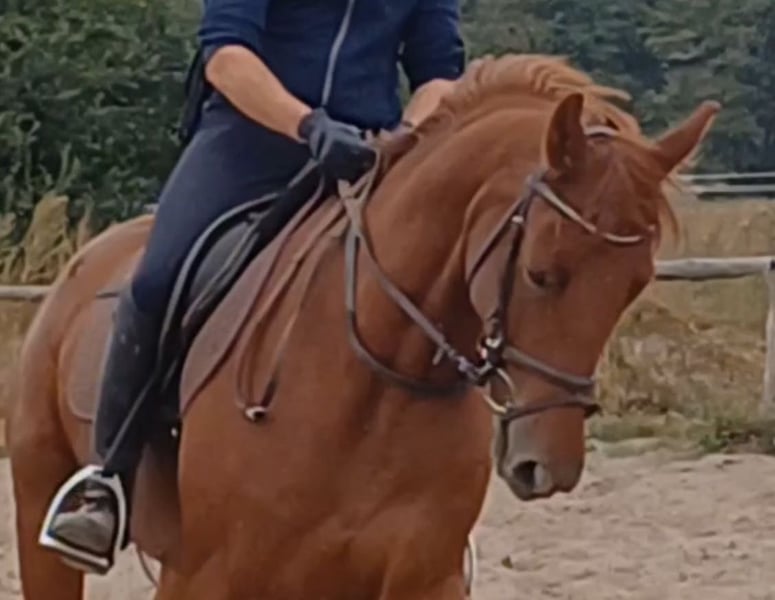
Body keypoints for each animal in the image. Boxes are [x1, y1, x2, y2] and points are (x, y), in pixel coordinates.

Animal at [7, 54, 718, 599]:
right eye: (543, 273)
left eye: (634, 285)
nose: (547, 466)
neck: (376, 380)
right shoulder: (208, 577)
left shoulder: (420, 580)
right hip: (43, 503)